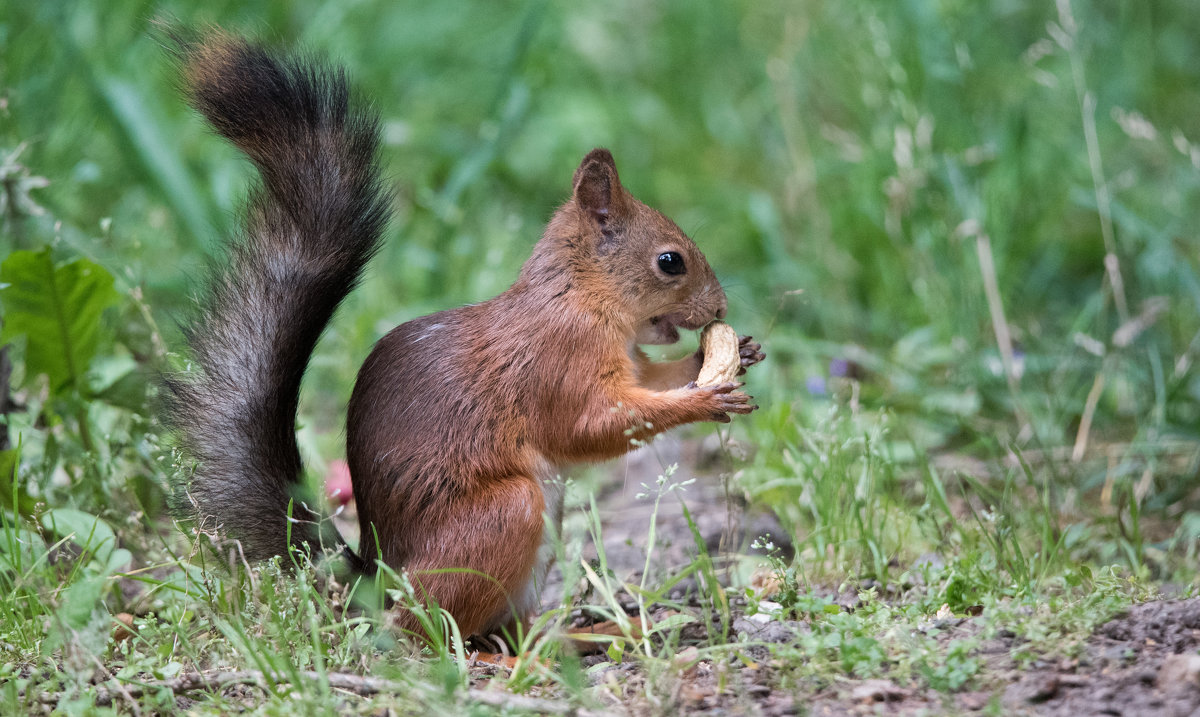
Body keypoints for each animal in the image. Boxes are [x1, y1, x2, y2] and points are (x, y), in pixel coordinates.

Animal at [164, 32, 763, 642]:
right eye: (670, 262)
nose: (720, 307)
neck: (579, 296)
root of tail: (380, 584)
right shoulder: (558, 359)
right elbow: (588, 425)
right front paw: (704, 400)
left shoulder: (630, 360)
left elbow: (653, 378)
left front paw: (727, 355)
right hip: (503, 516)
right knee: (429, 630)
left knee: (506, 628)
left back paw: (582, 635)